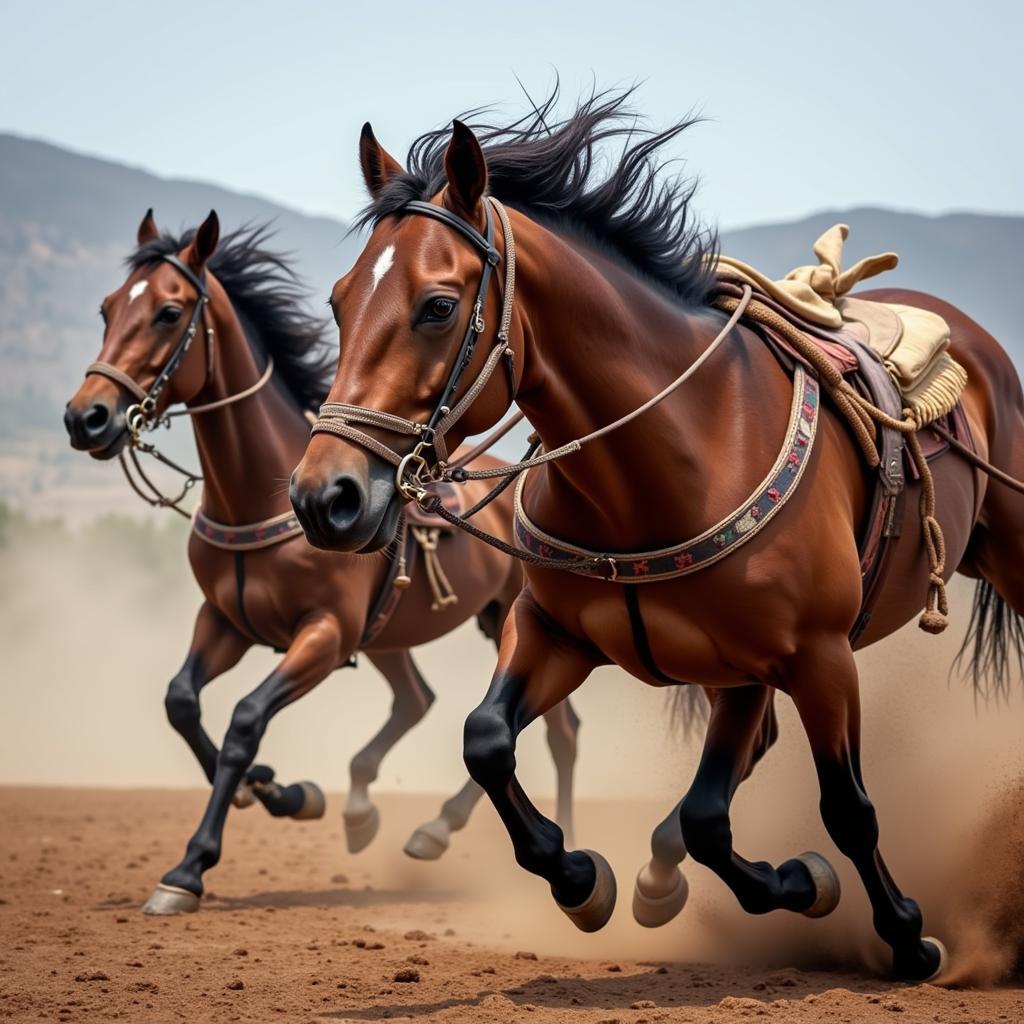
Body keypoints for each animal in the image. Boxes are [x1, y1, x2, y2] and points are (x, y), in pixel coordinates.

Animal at [61, 211, 577, 917]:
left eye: (168, 313)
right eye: (108, 308)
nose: (86, 417)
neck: (256, 498)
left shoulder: (325, 636)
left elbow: (245, 719)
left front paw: (195, 863)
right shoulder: (225, 621)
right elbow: (182, 702)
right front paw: (268, 790)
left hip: (509, 618)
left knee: (556, 732)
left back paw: (447, 827)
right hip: (394, 633)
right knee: (421, 700)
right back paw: (369, 812)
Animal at [288, 92, 1024, 978]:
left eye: (437, 306)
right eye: (339, 301)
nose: (323, 497)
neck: (677, 452)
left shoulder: (808, 656)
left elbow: (841, 807)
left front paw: (904, 933)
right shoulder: (557, 633)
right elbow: (490, 740)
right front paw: (585, 881)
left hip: (1009, 551)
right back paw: (658, 876)